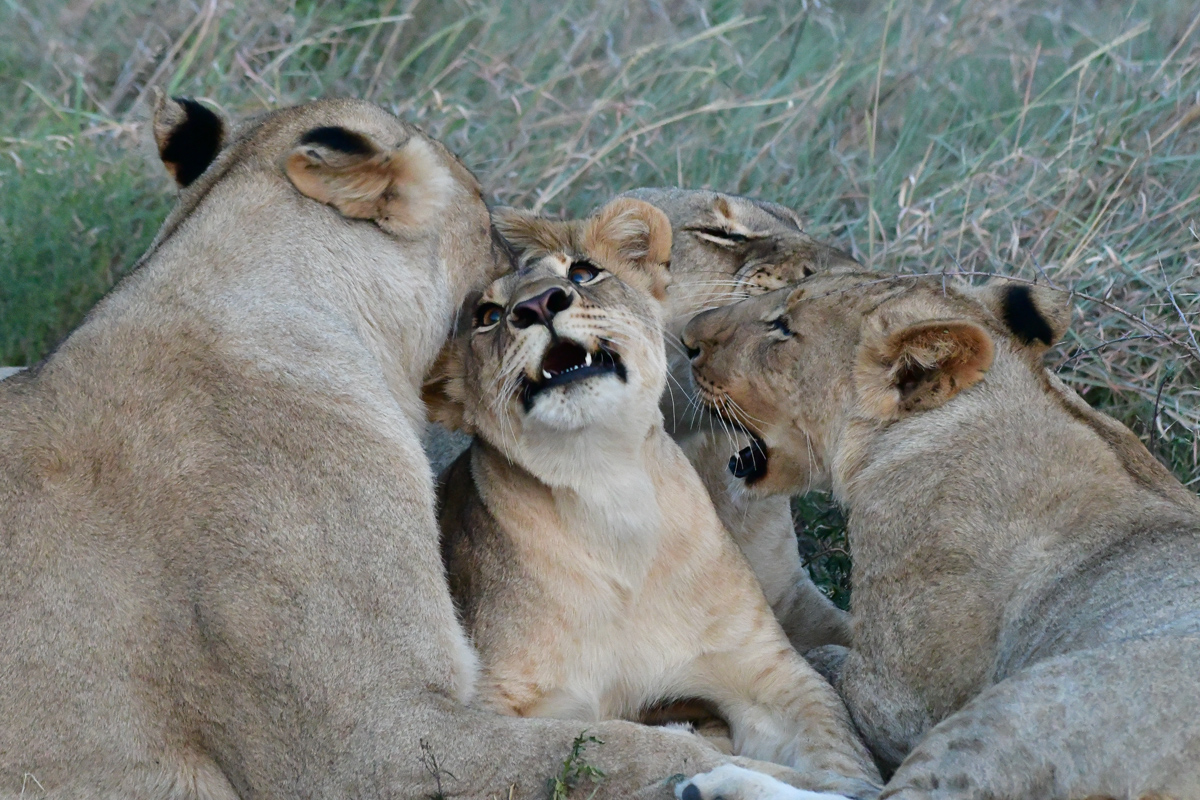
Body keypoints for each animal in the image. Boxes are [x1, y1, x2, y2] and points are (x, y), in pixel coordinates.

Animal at [423, 197, 882, 799]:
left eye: (583, 274)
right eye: (488, 316)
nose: (539, 304)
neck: (611, 494)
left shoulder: (764, 668)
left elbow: (837, 745)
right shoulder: (492, 710)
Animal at [673, 268, 1200, 799]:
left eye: (782, 327)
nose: (687, 339)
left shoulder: (894, 701)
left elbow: (823, 661)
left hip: (1014, 716)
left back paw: (707, 780)